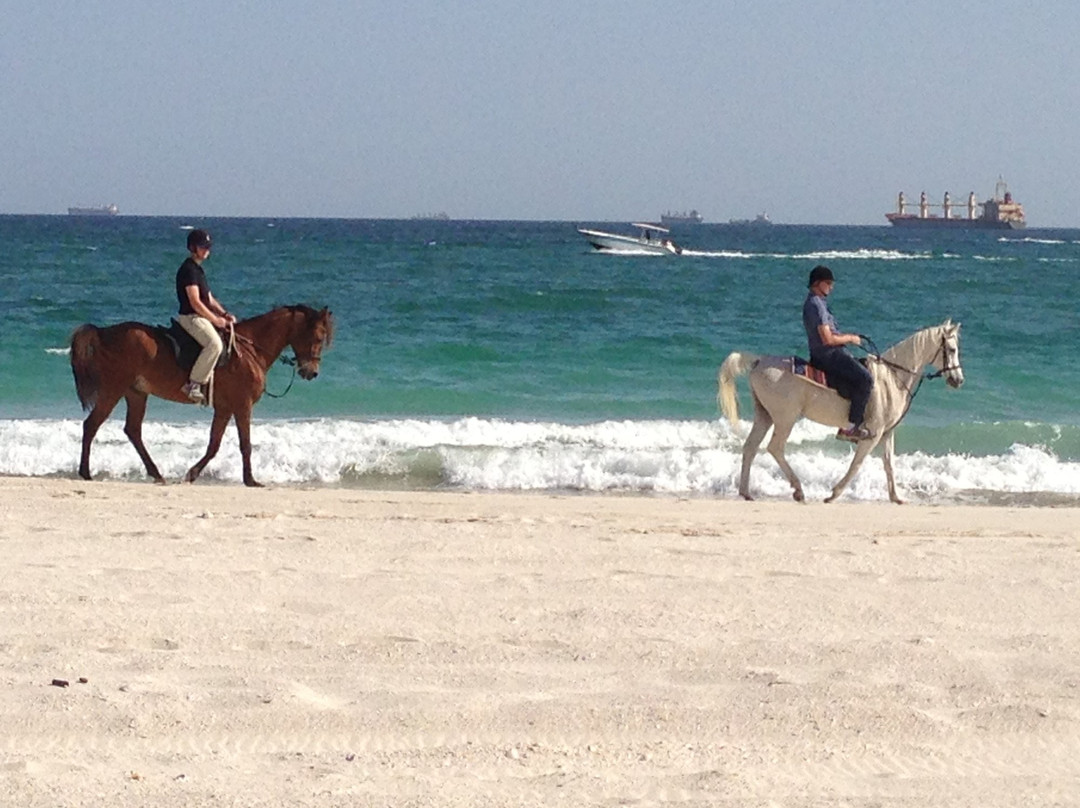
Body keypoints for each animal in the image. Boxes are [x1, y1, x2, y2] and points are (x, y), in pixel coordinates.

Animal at [70, 305, 334, 487]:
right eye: (318, 337)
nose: (312, 372)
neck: (250, 350)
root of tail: (104, 332)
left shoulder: (225, 408)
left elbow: (214, 444)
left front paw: (192, 474)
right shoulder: (242, 405)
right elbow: (245, 444)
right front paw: (250, 480)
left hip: (136, 393)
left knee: (133, 430)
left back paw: (156, 473)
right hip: (113, 389)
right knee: (91, 425)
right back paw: (86, 472)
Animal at [717, 321, 963, 504]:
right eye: (951, 349)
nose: (958, 380)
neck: (892, 378)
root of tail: (759, 362)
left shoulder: (886, 433)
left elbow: (889, 464)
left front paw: (896, 497)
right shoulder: (872, 434)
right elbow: (856, 464)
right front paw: (834, 494)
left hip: (764, 416)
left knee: (750, 447)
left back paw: (746, 492)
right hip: (785, 419)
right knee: (775, 448)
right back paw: (798, 490)